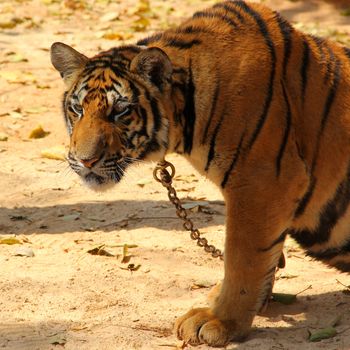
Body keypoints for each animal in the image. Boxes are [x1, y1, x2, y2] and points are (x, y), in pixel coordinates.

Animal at [50, 0, 350, 344]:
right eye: (77, 109)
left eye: (121, 111)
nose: (85, 161)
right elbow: (264, 256)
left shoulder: (262, 182)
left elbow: (243, 257)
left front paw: (221, 321)